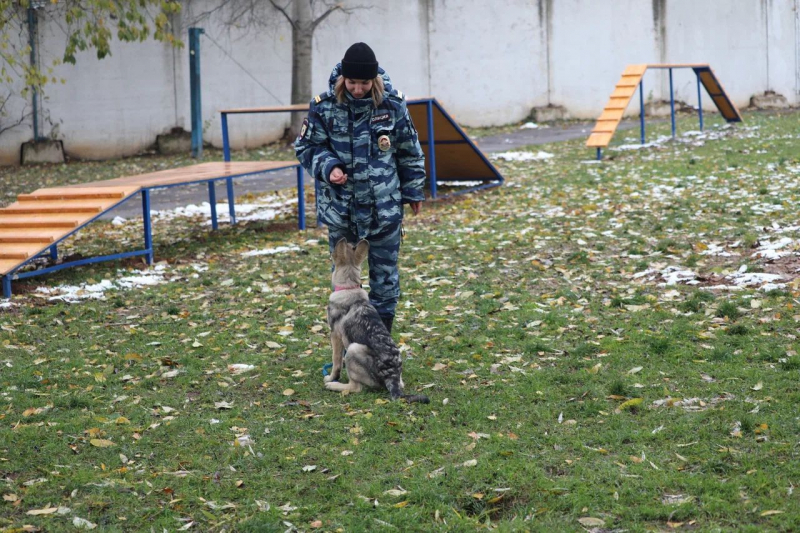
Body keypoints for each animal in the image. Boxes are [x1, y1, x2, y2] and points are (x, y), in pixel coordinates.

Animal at [322, 238, 428, 404]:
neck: (349, 288)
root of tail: (392, 375)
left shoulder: (335, 335)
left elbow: (336, 362)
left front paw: (332, 377)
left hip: (353, 348)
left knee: (356, 387)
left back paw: (334, 385)